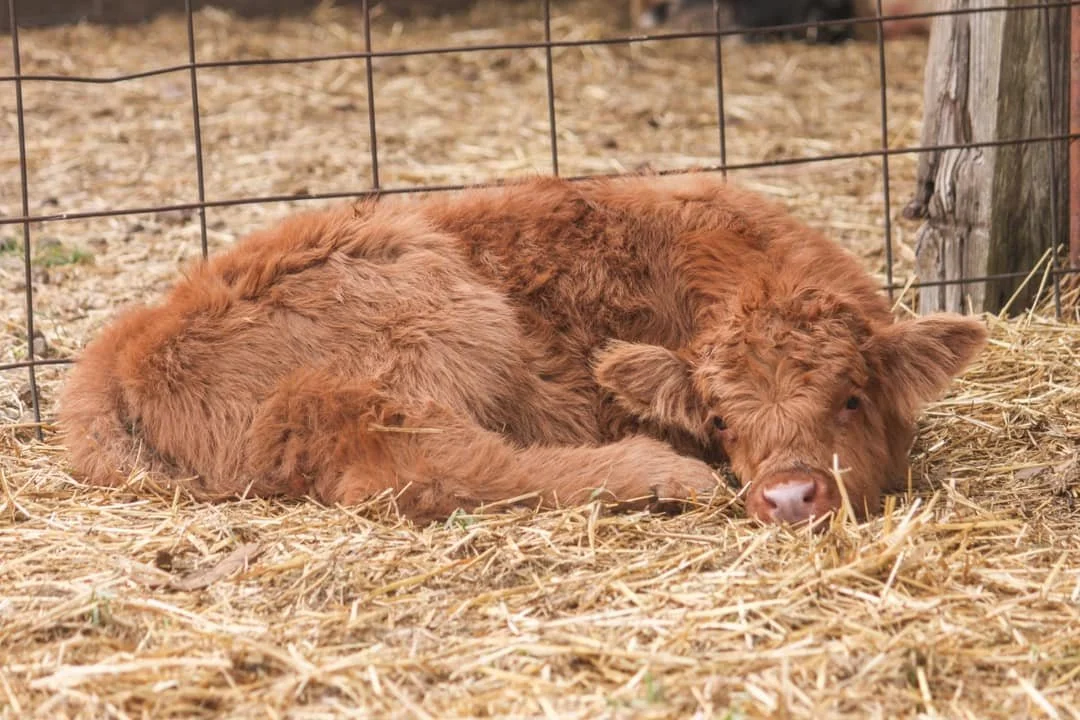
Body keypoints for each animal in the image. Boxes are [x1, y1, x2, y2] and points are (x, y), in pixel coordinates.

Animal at [59, 174, 986, 525]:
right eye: (720, 419)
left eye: (852, 397)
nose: (789, 497)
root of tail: (129, 343)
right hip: (438, 313)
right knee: (422, 467)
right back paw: (659, 476)